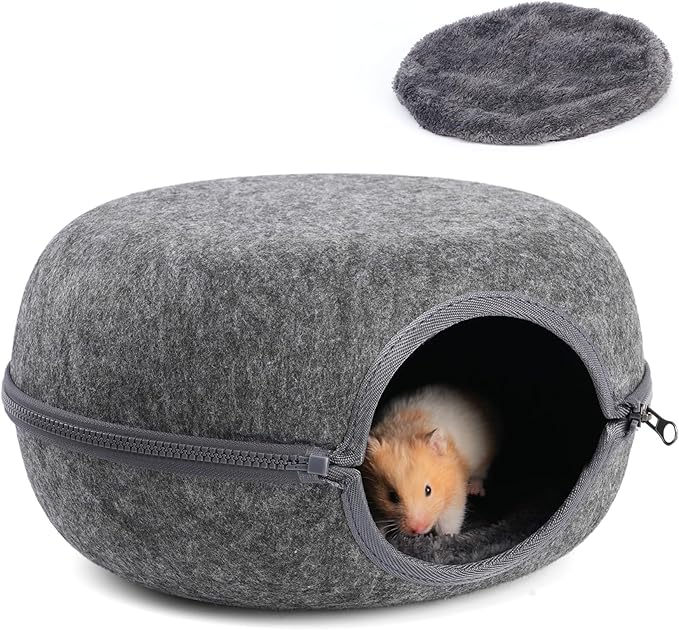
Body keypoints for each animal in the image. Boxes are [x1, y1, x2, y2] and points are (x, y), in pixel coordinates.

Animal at [359, 384, 497, 537]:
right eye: (392, 496)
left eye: (428, 490)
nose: (418, 530)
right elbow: (380, 520)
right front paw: (379, 533)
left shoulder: (455, 492)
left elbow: (449, 520)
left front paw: (447, 537)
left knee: (480, 475)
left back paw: (474, 490)